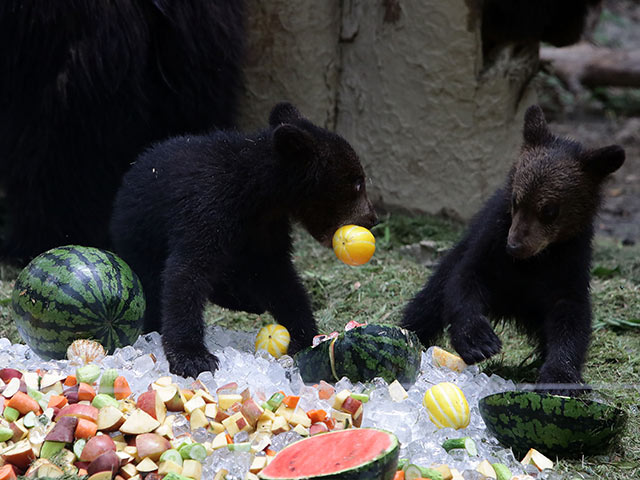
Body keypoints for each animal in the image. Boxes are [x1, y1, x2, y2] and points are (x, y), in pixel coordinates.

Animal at [110, 102, 378, 378]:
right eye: (358, 182)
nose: (372, 218)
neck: (256, 193)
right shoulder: (207, 207)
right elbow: (187, 271)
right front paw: (193, 357)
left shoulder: (265, 228)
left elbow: (278, 275)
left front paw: (304, 336)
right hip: (139, 239)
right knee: (154, 284)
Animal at [402, 106, 624, 394]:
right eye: (516, 200)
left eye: (550, 210)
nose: (515, 246)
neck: (532, 263)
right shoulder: (492, 239)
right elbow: (466, 279)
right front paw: (480, 341)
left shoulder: (571, 257)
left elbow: (571, 314)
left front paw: (561, 376)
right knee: (428, 303)